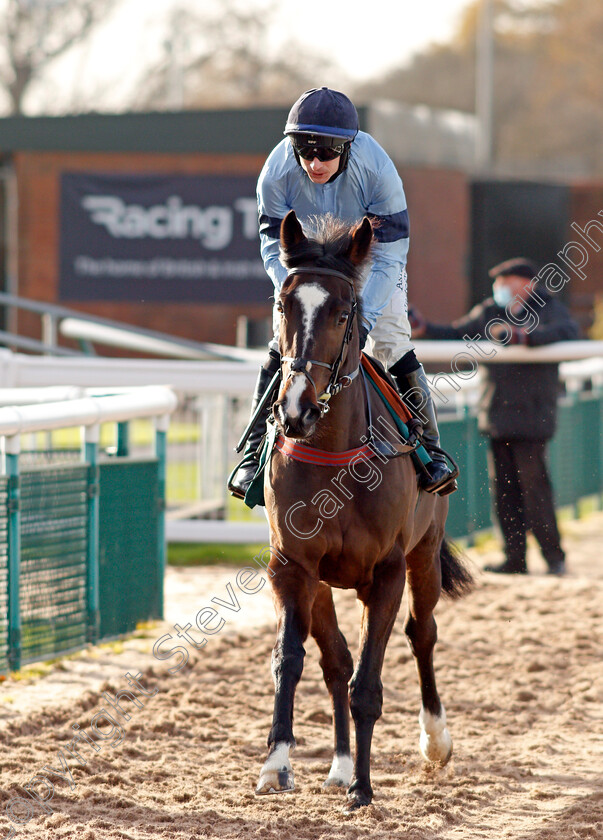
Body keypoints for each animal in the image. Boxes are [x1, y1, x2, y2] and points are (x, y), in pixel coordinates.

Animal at [258, 210, 474, 812]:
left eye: (342, 311)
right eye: (284, 304)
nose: (296, 410)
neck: (335, 452)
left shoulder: (387, 571)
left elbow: (370, 686)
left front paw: (364, 786)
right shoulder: (292, 566)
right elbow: (293, 662)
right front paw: (278, 764)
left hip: (424, 554)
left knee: (422, 634)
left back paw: (434, 740)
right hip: (325, 583)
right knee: (335, 662)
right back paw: (336, 766)